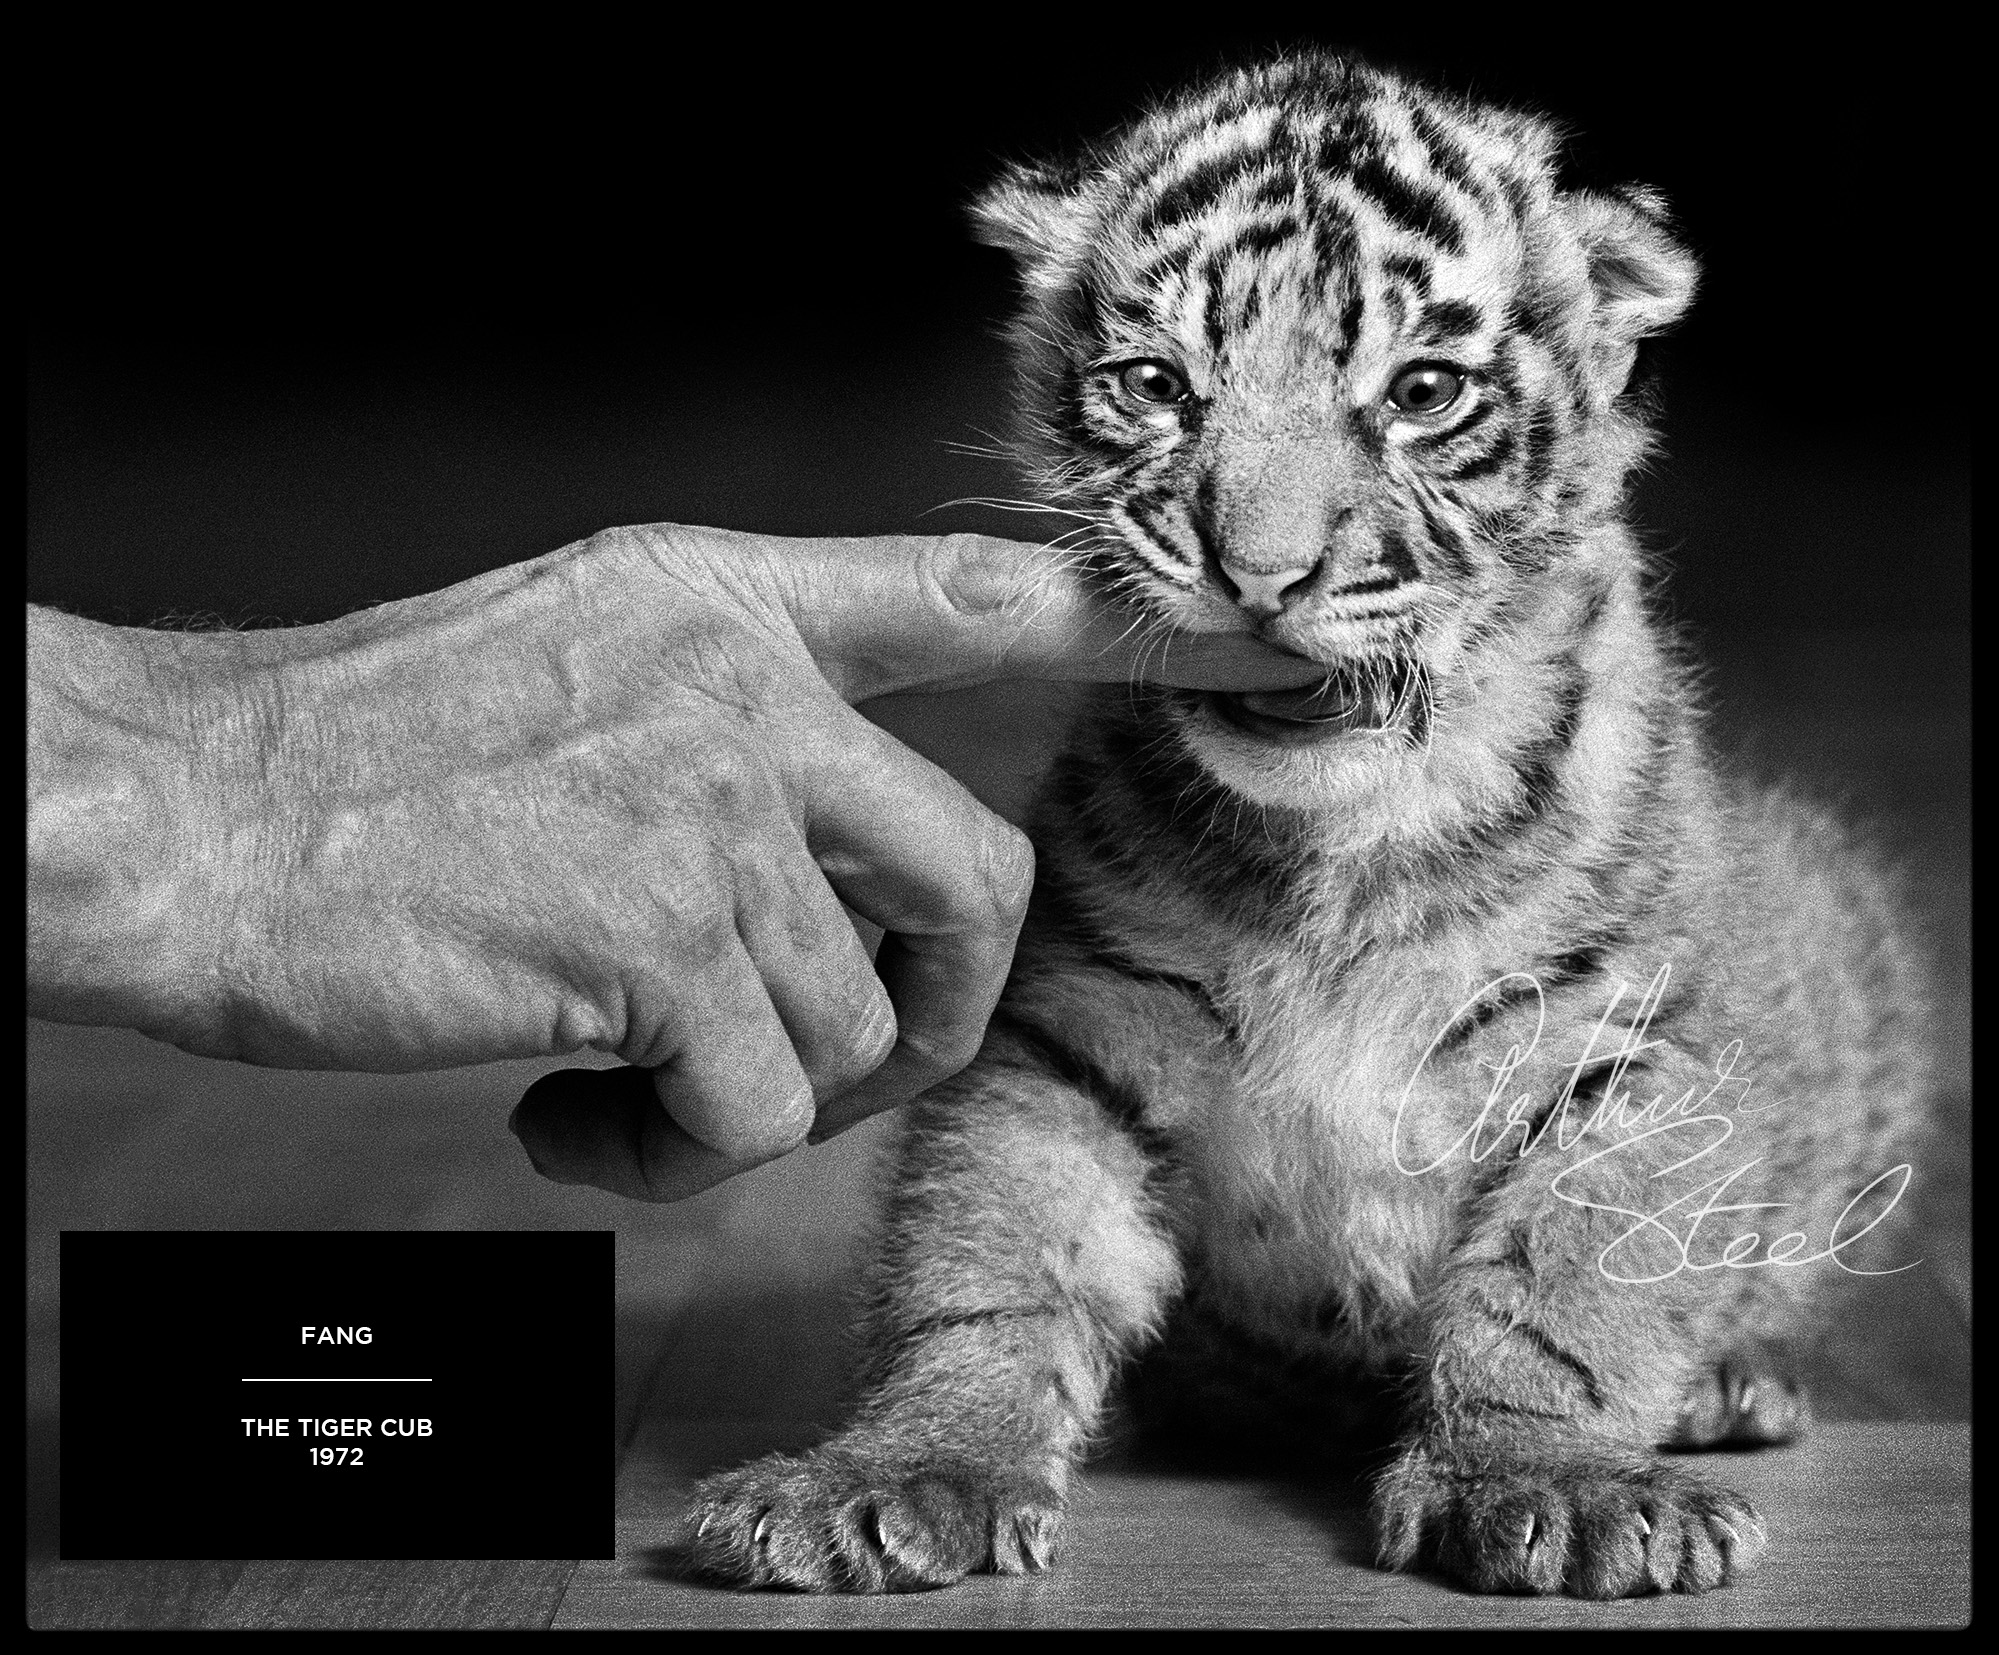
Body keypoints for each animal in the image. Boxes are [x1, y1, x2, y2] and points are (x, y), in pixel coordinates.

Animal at [684, 51, 1929, 1599]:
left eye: (1421, 392)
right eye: (1157, 387)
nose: (1260, 575)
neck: (1339, 849)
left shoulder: (1626, 1047)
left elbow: (1569, 1282)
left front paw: (1551, 1482)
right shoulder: (1066, 1035)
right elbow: (991, 1265)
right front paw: (905, 1468)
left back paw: (1728, 1382)